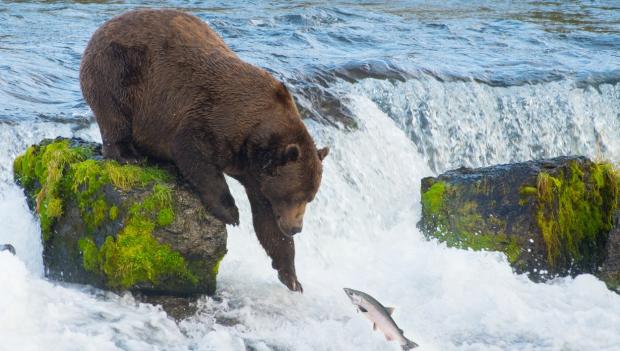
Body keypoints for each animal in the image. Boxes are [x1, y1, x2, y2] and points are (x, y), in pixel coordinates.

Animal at [80, 8, 330, 294]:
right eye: (295, 195)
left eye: (310, 197)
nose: (296, 227)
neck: (256, 140)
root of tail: (102, 27)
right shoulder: (215, 118)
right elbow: (194, 154)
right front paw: (231, 212)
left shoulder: (258, 176)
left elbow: (267, 222)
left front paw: (291, 276)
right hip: (120, 69)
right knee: (114, 112)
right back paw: (129, 154)